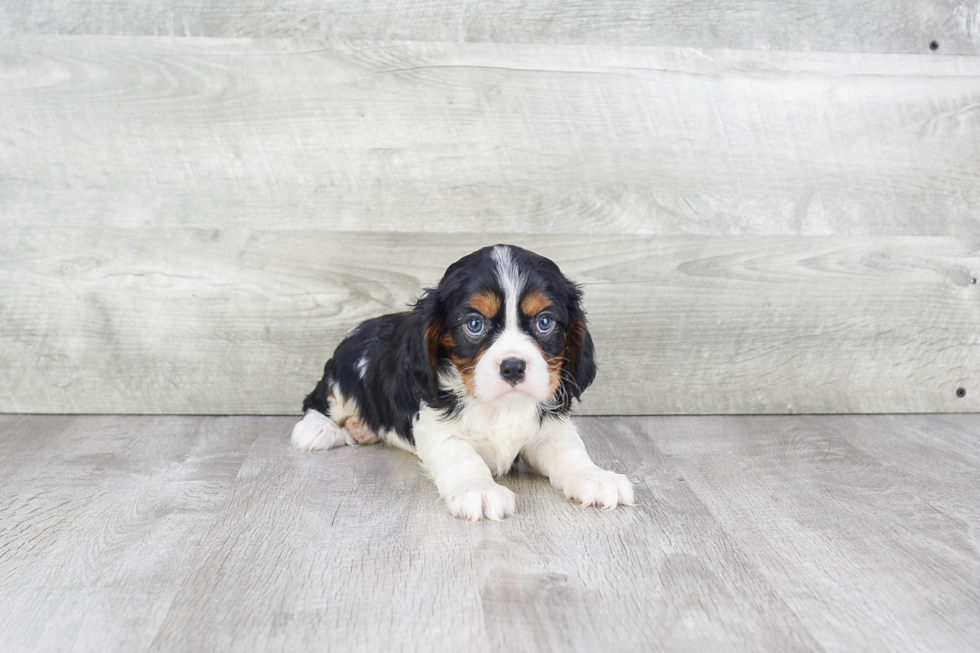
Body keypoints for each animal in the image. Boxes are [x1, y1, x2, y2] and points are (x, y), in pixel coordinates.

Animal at [290, 244, 636, 520]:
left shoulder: (550, 428)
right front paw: (479, 490)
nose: (513, 367)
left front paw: (594, 477)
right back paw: (319, 429)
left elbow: (570, 451)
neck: (501, 405)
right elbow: (462, 457)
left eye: (545, 322)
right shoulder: (435, 426)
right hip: (341, 377)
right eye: (474, 324)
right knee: (316, 400)